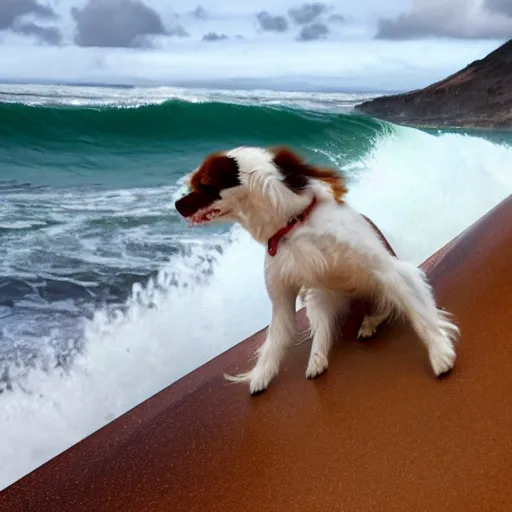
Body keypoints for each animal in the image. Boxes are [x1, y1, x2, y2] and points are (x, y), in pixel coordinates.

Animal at [174, 146, 458, 394]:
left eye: (202, 185)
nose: (176, 205)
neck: (291, 224)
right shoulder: (281, 299)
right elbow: (274, 340)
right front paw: (261, 375)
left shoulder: (388, 269)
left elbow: (421, 316)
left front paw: (439, 352)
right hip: (318, 297)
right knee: (323, 329)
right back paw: (318, 359)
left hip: (378, 286)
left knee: (385, 307)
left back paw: (369, 323)